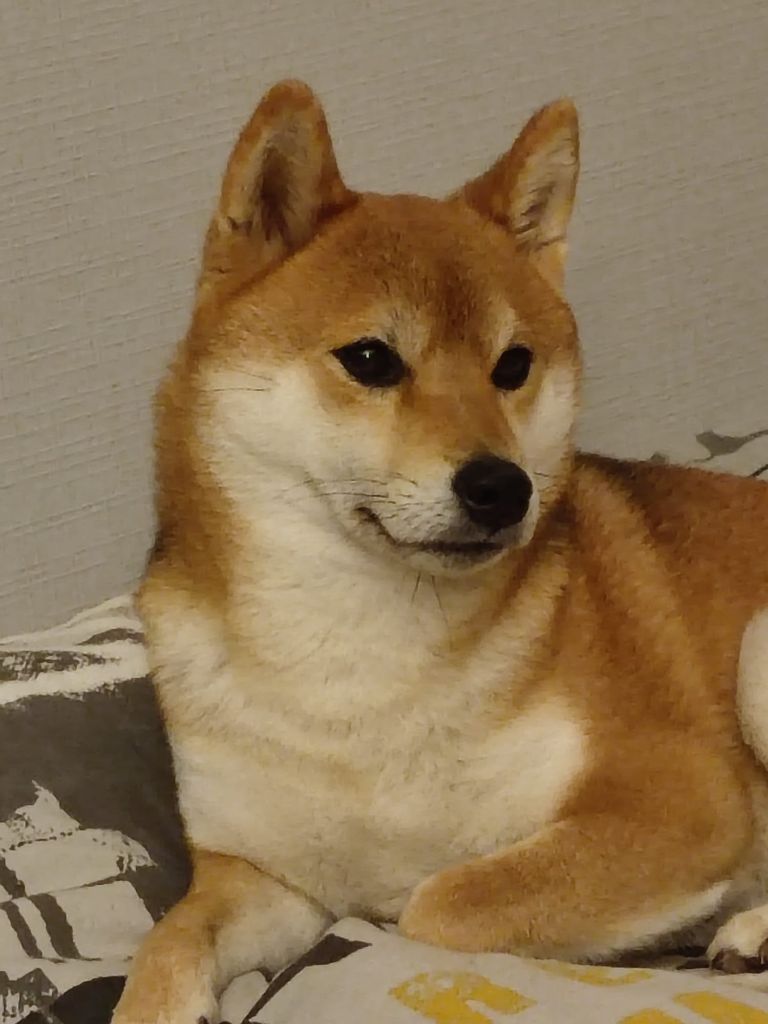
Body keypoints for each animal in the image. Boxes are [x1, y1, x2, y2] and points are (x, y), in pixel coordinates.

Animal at [112, 81, 768, 1023]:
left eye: (514, 365)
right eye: (371, 359)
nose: (503, 487)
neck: (357, 664)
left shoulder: (679, 798)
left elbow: (433, 902)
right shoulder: (269, 877)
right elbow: (168, 940)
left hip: (757, 653)